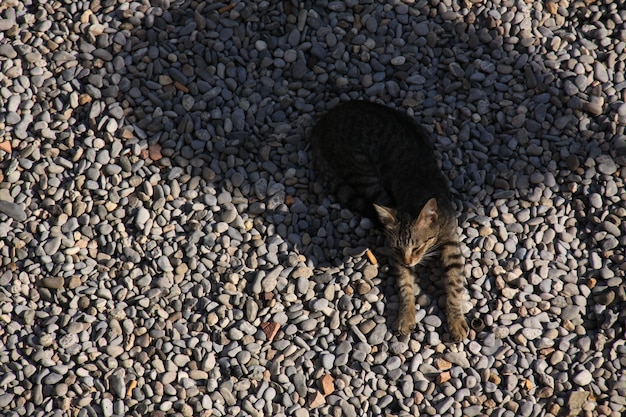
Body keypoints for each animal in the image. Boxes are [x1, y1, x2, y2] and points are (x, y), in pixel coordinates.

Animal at [310, 99, 466, 340]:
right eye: (399, 249)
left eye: (418, 246)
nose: (408, 261)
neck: (417, 196)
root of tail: (325, 118)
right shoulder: (397, 256)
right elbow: (405, 285)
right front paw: (406, 316)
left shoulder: (451, 241)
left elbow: (453, 282)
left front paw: (456, 321)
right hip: (366, 176)